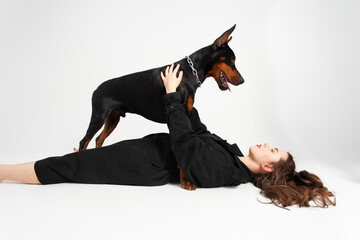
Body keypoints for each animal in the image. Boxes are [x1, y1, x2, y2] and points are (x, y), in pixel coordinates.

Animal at [79, 24, 245, 189]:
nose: (243, 81)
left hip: (113, 119)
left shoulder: (186, 115)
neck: (190, 72)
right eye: (232, 60)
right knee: (84, 141)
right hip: (99, 116)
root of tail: (96, 89)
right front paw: (186, 181)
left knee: (98, 139)